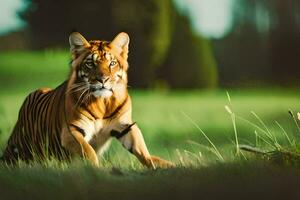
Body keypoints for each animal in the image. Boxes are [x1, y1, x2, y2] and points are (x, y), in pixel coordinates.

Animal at [0, 32, 173, 169]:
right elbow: (88, 152)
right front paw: (96, 170)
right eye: (90, 63)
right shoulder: (72, 131)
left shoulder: (125, 125)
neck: (103, 103)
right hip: (20, 146)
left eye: (112, 63)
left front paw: (163, 165)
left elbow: (143, 151)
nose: (103, 79)